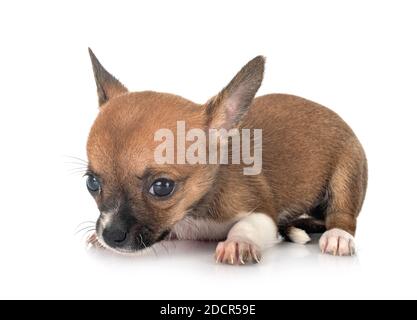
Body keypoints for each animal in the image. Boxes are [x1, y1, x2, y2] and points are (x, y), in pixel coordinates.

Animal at [86, 49, 366, 264]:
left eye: (162, 187)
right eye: (92, 183)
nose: (110, 235)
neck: (193, 215)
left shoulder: (263, 214)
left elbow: (246, 225)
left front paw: (238, 243)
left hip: (347, 175)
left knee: (342, 214)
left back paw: (338, 237)